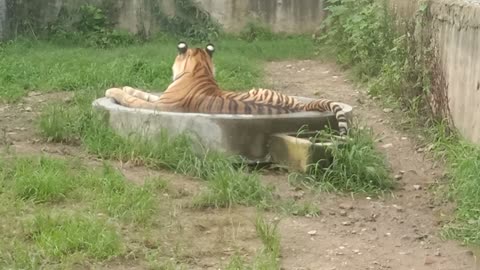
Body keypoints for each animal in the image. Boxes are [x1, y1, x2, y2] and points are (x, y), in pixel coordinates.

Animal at [105, 41, 348, 135]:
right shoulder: (162, 98)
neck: (200, 69)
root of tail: (299, 105)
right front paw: (127, 86)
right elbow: (145, 94)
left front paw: (113, 90)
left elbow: (136, 100)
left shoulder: (163, 106)